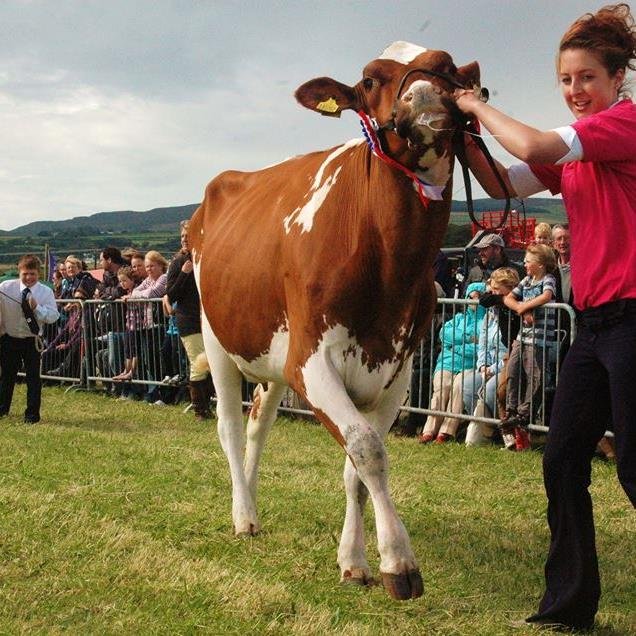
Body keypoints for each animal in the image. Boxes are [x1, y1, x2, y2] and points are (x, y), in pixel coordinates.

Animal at [190, 41, 482, 600]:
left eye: (449, 68)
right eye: (370, 80)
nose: (425, 98)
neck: (388, 267)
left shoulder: (397, 371)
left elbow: (356, 466)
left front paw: (354, 560)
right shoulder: (311, 359)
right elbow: (366, 449)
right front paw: (399, 562)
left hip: (273, 356)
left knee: (259, 424)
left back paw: (253, 501)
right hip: (218, 339)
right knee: (230, 426)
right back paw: (242, 515)